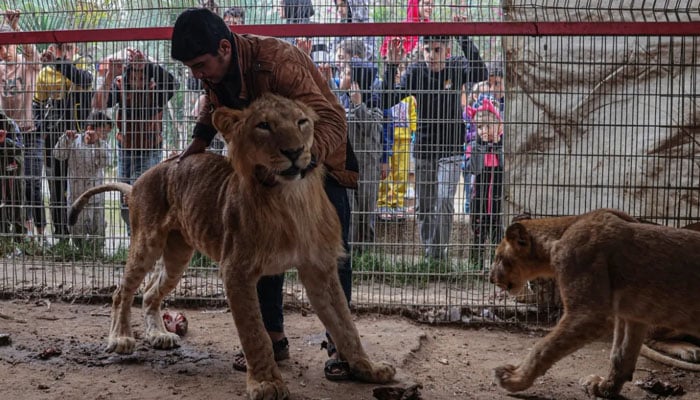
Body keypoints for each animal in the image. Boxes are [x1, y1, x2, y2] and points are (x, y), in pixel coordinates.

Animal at [72, 94, 400, 400]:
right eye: (264, 125)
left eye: (302, 122)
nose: (294, 152)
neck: (291, 198)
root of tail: (142, 178)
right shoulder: (236, 270)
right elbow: (256, 333)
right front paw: (266, 383)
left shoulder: (319, 268)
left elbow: (346, 325)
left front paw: (368, 369)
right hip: (147, 241)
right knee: (122, 291)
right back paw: (120, 338)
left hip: (178, 255)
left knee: (151, 292)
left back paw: (159, 335)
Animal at [490, 208, 700, 398]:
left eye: (499, 257)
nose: (491, 279)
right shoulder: (631, 314)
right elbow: (621, 355)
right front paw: (604, 388)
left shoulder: (590, 313)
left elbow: (543, 347)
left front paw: (514, 379)